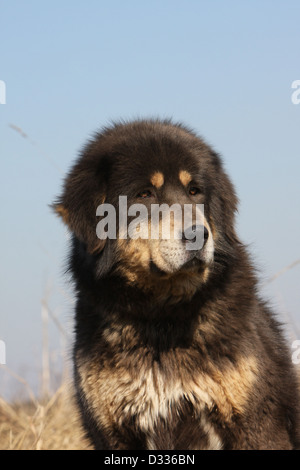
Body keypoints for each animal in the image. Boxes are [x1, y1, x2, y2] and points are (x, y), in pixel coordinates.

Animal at [52, 119, 300, 450]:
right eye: (144, 194)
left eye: (194, 191)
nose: (198, 234)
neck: (162, 320)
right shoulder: (115, 432)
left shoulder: (255, 426)